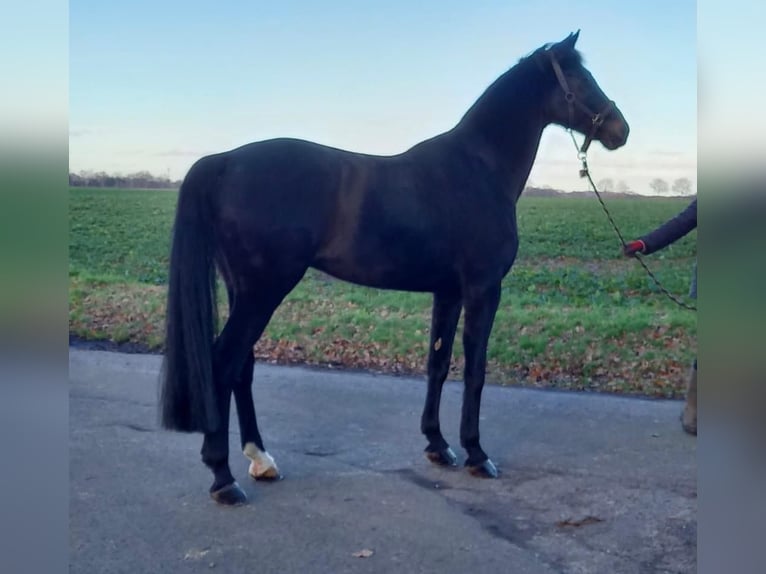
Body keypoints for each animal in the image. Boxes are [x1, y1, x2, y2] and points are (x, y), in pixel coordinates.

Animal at [160, 32, 632, 508]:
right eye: (579, 77)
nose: (621, 130)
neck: (478, 168)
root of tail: (224, 162)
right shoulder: (483, 288)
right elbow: (475, 369)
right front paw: (477, 453)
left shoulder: (449, 291)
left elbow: (438, 362)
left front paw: (438, 445)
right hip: (263, 291)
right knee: (223, 365)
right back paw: (224, 478)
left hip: (244, 291)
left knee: (243, 367)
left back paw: (261, 460)